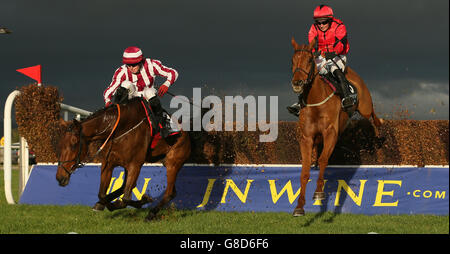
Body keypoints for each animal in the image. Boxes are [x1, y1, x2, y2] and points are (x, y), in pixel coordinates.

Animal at [55, 97, 191, 220]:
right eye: (60, 144)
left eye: (73, 144)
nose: (59, 177)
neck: (120, 128)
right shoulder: (108, 163)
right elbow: (102, 194)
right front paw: (103, 204)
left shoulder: (135, 165)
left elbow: (125, 198)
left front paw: (144, 199)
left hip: (172, 164)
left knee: (169, 193)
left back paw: (151, 213)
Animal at [288, 37, 384, 216]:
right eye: (292, 60)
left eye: (310, 60)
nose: (297, 83)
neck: (316, 101)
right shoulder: (306, 137)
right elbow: (305, 170)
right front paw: (299, 206)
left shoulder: (330, 133)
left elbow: (324, 159)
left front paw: (319, 192)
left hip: (365, 106)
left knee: (372, 113)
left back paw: (378, 128)